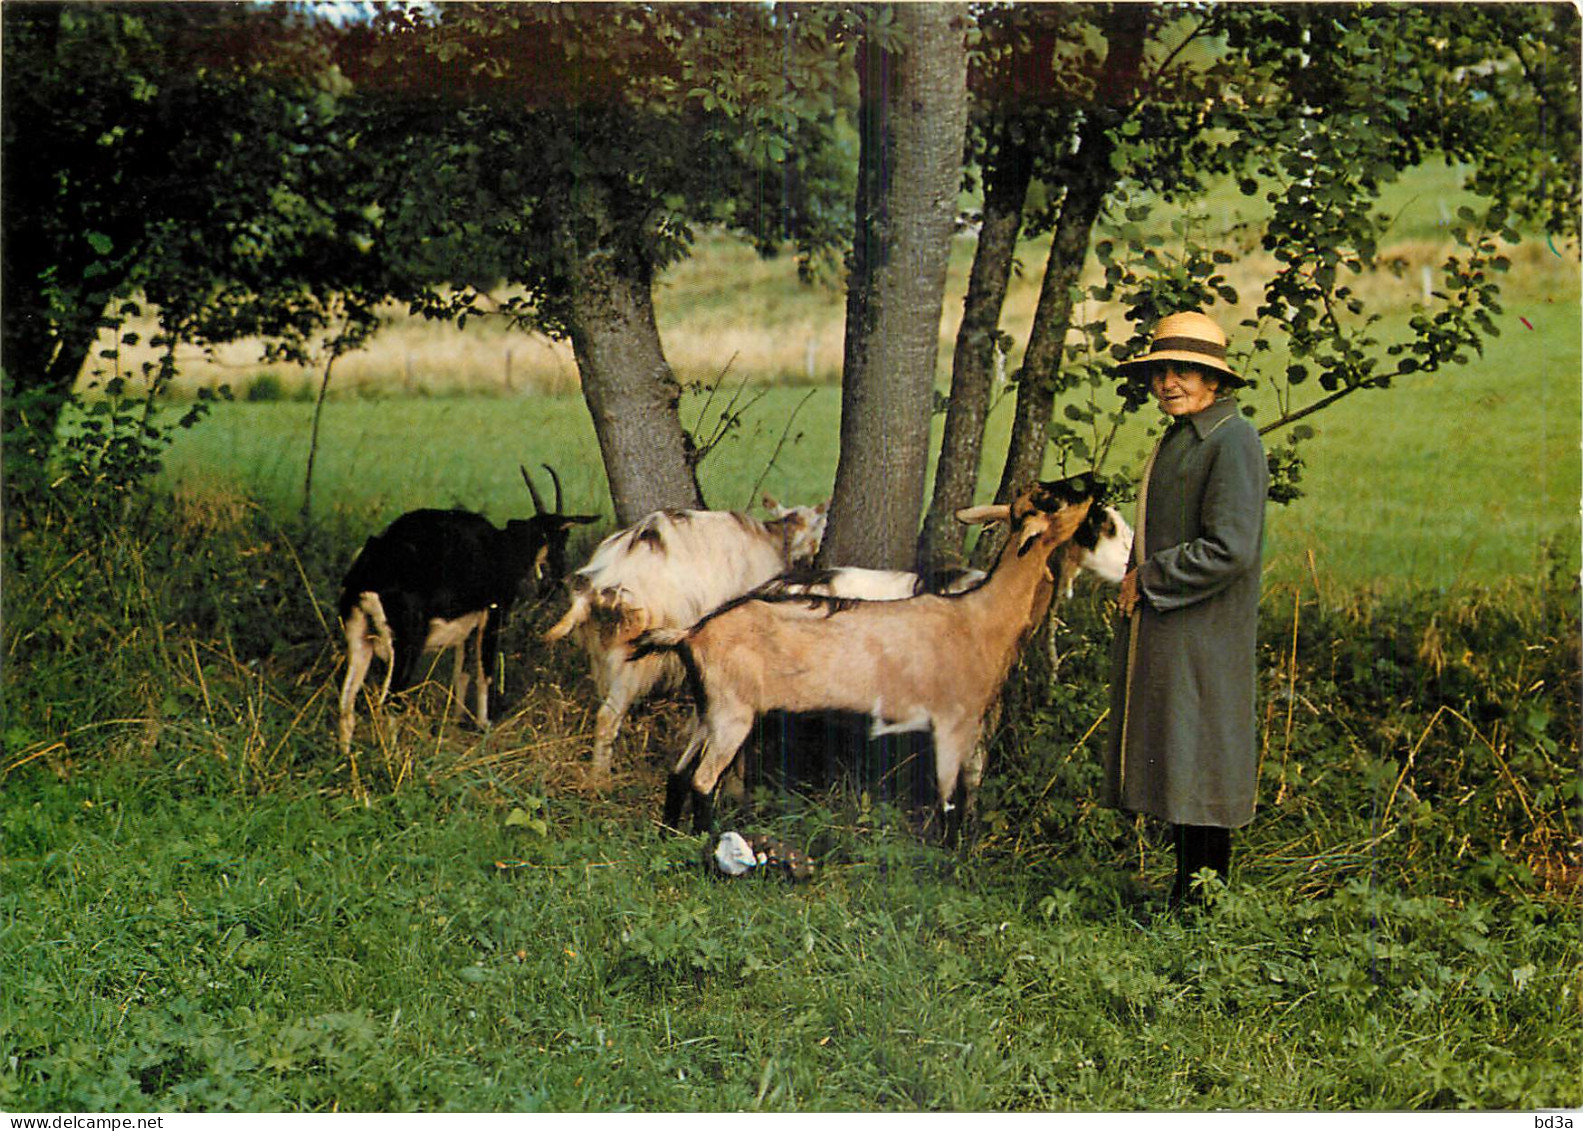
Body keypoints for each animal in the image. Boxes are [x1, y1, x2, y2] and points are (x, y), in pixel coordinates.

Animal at [337, 462, 595, 754]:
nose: (557, 581)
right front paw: (485, 727)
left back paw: (345, 757)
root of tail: (368, 569)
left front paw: (456, 722)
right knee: (391, 701)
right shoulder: (492, 616)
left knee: (346, 703)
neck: (498, 549)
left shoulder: (465, 630)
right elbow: (485, 674)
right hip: (405, 646)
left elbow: (461, 674)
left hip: (359, 639)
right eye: (558, 539)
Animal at [636, 468, 1108, 836]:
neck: (980, 616)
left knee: (678, 772)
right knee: (702, 781)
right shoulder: (952, 722)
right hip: (732, 713)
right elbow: (949, 803)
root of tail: (691, 633)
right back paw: (704, 842)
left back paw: (670, 836)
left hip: (710, 709)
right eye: (1052, 498)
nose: (1096, 482)